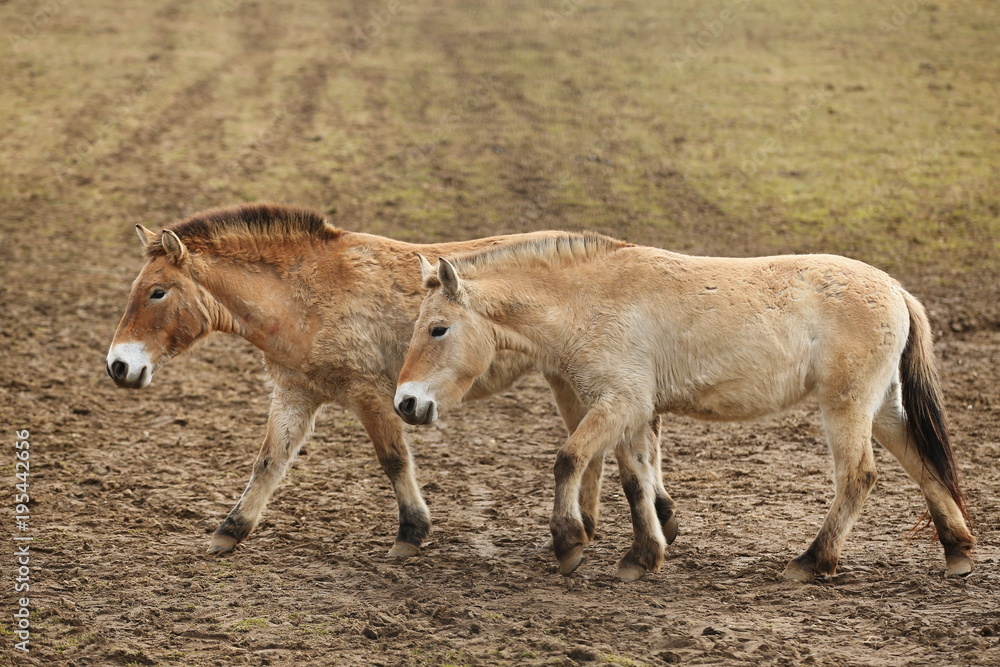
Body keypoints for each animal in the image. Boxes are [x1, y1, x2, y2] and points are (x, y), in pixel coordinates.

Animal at [105, 203, 669, 559]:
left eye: (157, 292)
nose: (118, 366)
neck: (304, 294)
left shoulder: (370, 395)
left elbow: (394, 459)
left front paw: (410, 534)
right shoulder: (295, 394)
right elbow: (269, 462)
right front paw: (229, 532)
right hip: (567, 381)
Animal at [394, 232, 975, 582]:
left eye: (438, 329)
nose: (406, 403)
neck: (587, 300)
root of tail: (896, 290)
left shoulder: (618, 403)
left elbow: (568, 459)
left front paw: (569, 544)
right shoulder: (631, 412)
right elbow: (636, 482)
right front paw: (643, 555)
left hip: (847, 407)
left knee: (858, 476)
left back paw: (812, 561)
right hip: (881, 409)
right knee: (922, 465)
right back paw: (958, 552)